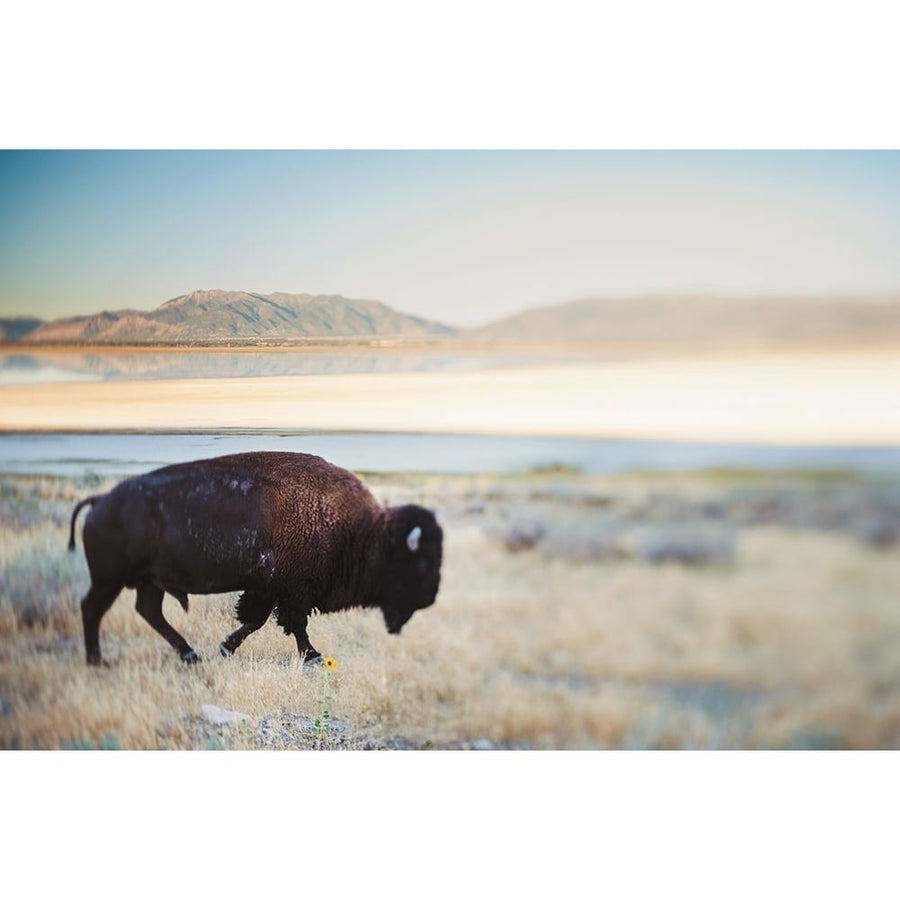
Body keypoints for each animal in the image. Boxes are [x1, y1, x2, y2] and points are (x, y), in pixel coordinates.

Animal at [67, 454, 442, 664]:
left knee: (148, 611)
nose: (430, 598)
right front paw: (314, 657)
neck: (362, 533)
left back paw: (190, 655)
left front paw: (225, 648)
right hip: (110, 580)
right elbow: (292, 624)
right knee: (92, 609)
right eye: (421, 563)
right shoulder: (291, 592)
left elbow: (257, 620)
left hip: (149, 581)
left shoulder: (267, 589)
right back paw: (97, 661)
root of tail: (100, 500)